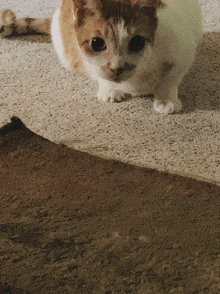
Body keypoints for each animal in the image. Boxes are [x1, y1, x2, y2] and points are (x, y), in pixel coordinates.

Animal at [0, 0, 203, 114]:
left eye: (137, 42)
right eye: (97, 43)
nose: (117, 67)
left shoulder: (183, 51)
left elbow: (170, 80)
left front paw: (165, 99)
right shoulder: (83, 58)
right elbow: (99, 74)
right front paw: (110, 90)